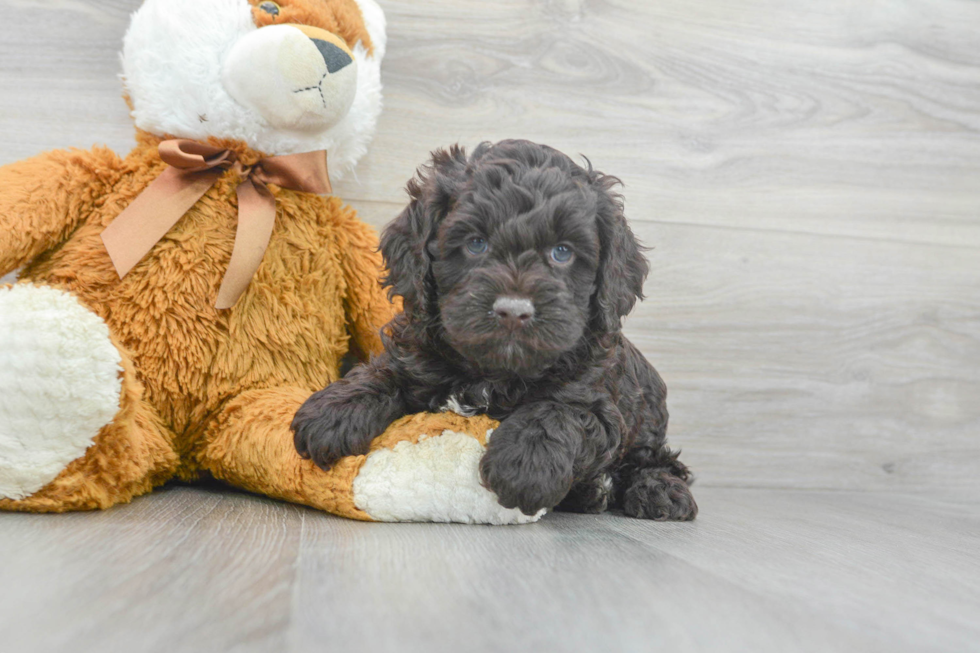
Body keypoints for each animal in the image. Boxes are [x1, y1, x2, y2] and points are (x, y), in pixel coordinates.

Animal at [290, 139, 696, 520]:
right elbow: (384, 371)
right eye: (476, 244)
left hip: (646, 418)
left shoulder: (601, 405)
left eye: (562, 252)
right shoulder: (418, 350)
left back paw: (658, 492)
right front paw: (334, 411)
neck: (494, 372)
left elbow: (560, 410)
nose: (513, 311)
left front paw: (525, 463)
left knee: (655, 459)